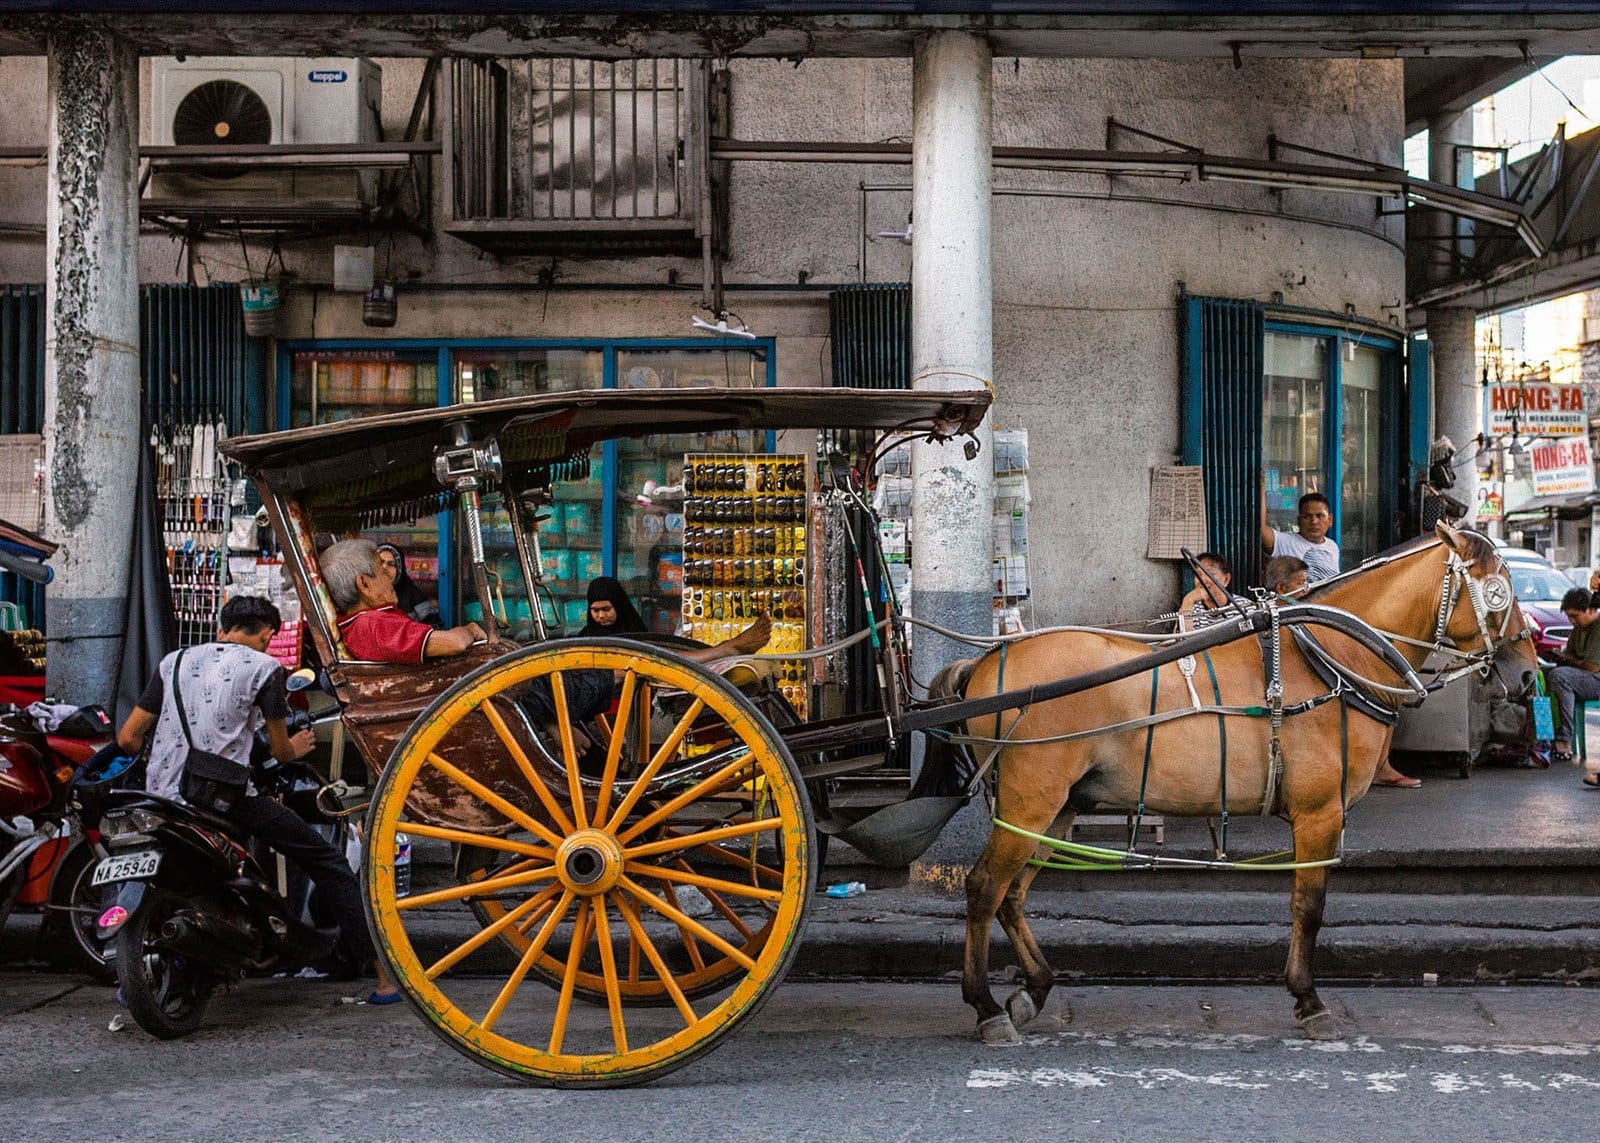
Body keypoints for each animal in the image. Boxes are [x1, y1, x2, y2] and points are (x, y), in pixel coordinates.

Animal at [926, 523, 1538, 1044]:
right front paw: (1309, 1000)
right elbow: (1308, 907)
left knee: (1012, 895)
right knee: (985, 887)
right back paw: (985, 1006)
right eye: (1499, 591)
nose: (1528, 674)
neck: (1335, 656)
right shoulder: (1320, 813)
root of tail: (985, 662)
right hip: (1030, 802)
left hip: (1055, 809)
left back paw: (1033, 989)